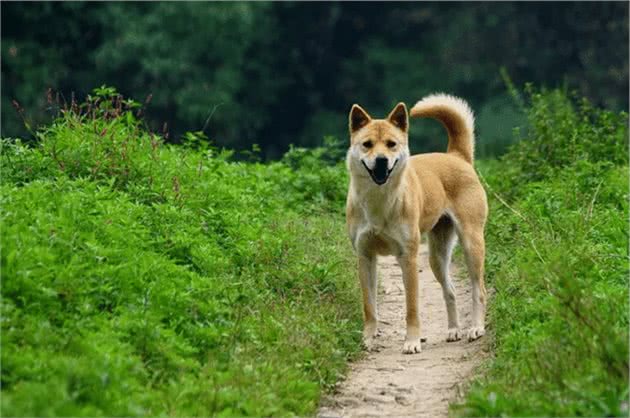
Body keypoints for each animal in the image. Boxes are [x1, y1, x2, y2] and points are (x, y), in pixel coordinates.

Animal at [346, 94, 488, 352]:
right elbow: (369, 307)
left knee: (479, 290)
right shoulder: (365, 257)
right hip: (437, 257)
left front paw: (412, 341)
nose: (381, 161)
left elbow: (412, 308)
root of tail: (456, 156)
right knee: (450, 291)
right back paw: (453, 330)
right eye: (367, 144)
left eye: (391, 144)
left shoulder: (408, 258)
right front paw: (368, 339)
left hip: (471, 244)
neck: (379, 201)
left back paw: (476, 328)